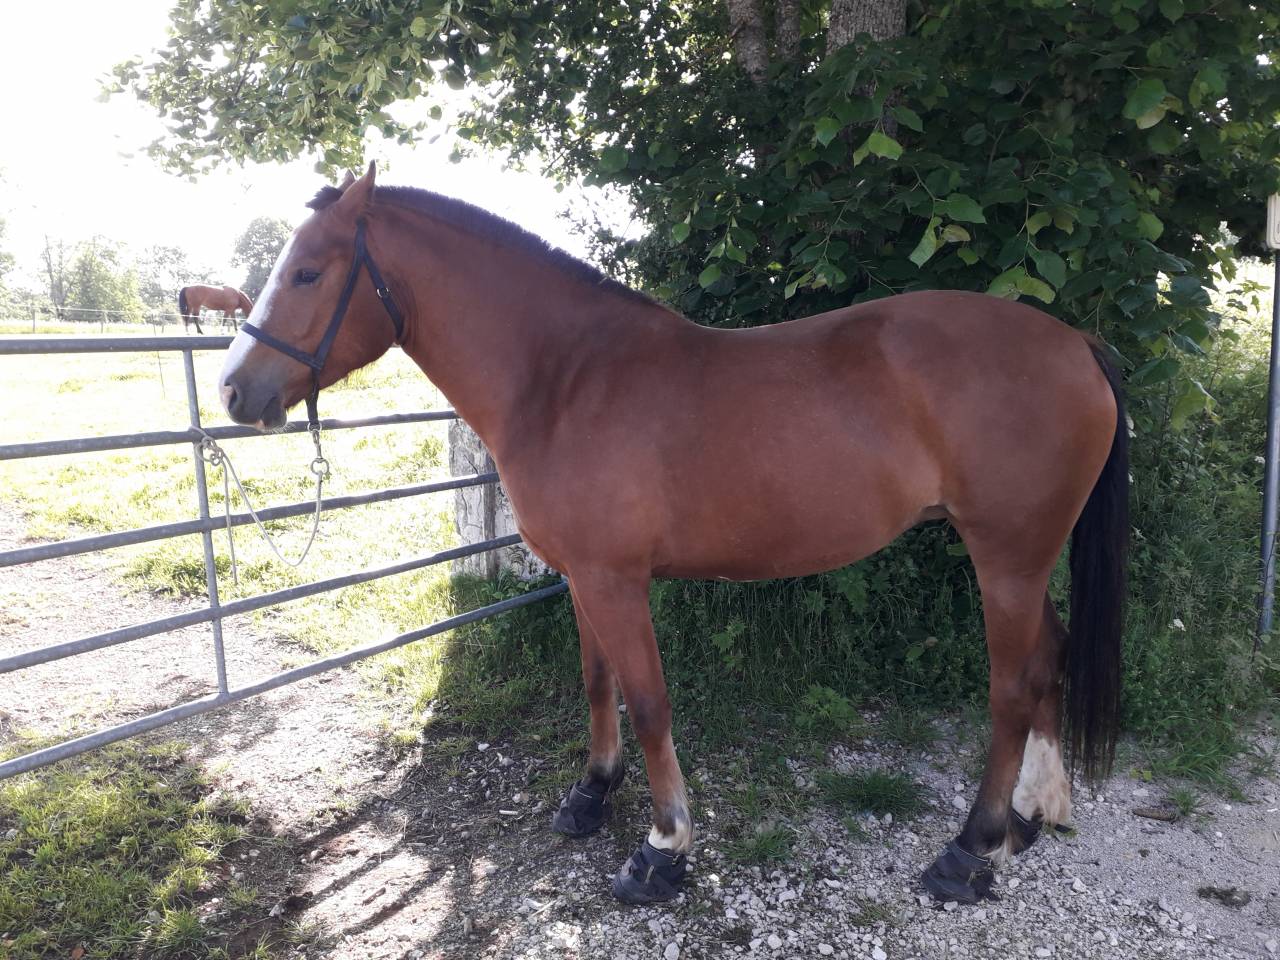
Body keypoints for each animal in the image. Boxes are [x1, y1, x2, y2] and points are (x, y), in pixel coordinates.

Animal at [218, 163, 1127, 906]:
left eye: (307, 271)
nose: (233, 391)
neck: (563, 377)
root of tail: (1076, 343)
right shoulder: (582, 575)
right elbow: (598, 683)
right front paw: (590, 794)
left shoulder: (617, 580)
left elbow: (650, 701)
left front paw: (662, 850)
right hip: (1026, 560)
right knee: (1048, 659)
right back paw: (1033, 815)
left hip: (1005, 557)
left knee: (1011, 689)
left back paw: (971, 851)